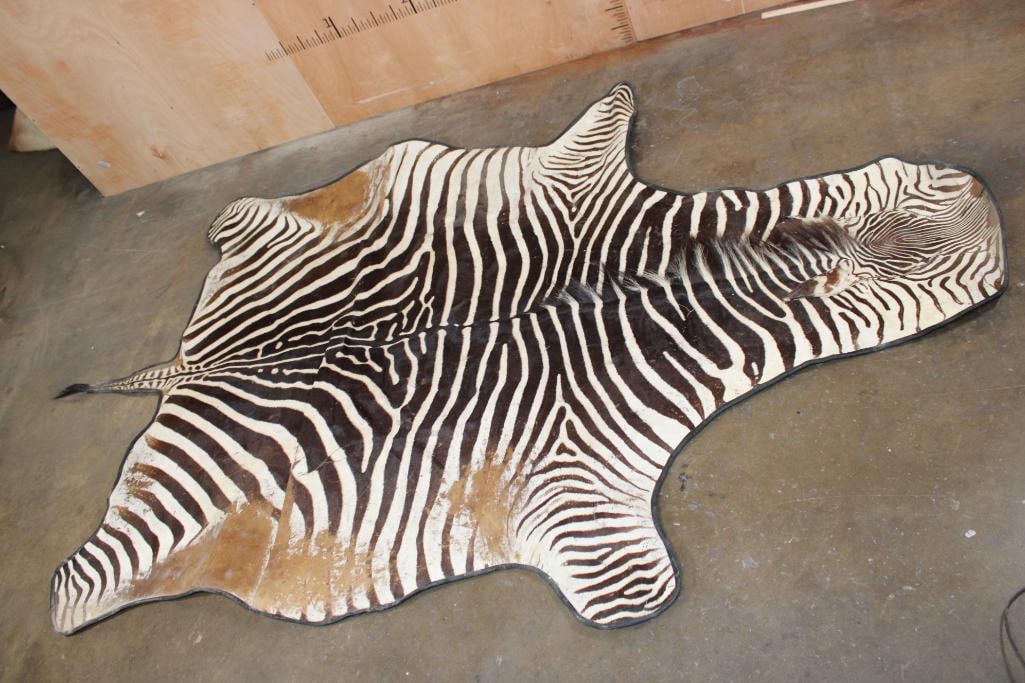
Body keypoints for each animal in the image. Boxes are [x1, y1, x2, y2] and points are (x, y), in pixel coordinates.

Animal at [51, 84, 1006, 633]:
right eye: (958, 286)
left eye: (910, 173)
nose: (984, 194)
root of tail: (194, 361)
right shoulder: (577, 480)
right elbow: (632, 591)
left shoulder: (578, 169)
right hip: (167, 523)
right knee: (79, 582)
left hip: (271, 239)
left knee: (247, 217)